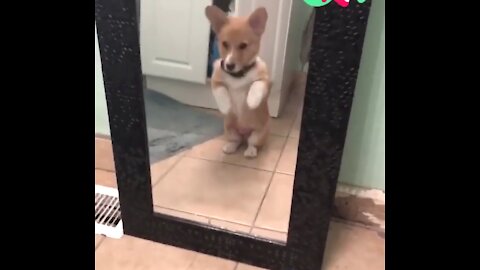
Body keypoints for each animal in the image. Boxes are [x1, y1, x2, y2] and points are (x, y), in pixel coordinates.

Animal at [206, 4, 272, 158]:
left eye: (243, 46)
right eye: (225, 44)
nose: (229, 65)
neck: (237, 75)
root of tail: (243, 133)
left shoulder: (265, 81)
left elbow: (256, 86)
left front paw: (251, 101)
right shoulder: (216, 80)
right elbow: (220, 92)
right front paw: (226, 107)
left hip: (258, 134)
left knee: (252, 143)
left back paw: (251, 151)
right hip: (229, 130)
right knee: (236, 141)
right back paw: (230, 146)